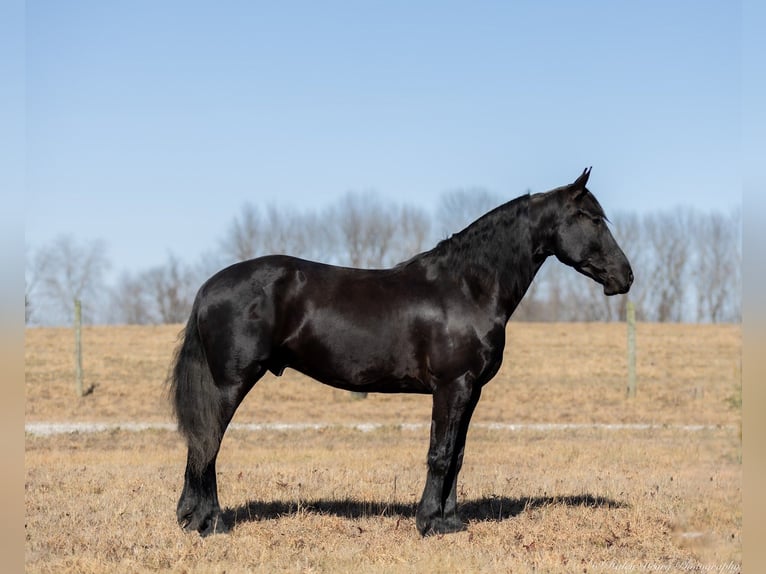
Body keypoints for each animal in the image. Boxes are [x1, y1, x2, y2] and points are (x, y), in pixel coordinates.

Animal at [170, 168, 636, 540]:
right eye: (592, 219)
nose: (625, 276)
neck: (467, 287)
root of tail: (209, 287)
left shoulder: (471, 392)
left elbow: (457, 455)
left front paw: (451, 522)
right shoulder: (453, 387)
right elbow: (440, 454)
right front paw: (429, 522)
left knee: (201, 444)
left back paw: (192, 519)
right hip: (230, 383)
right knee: (207, 443)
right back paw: (211, 523)